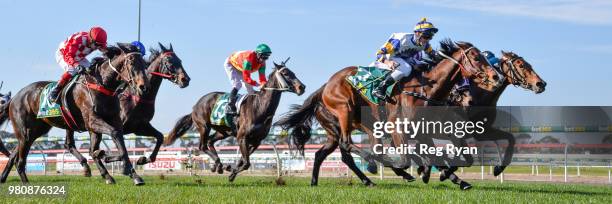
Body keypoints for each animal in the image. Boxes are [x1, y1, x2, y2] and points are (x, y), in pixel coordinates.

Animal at [0, 43, 148, 185]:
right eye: (131, 62)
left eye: (144, 63)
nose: (143, 86)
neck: (101, 84)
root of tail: (15, 97)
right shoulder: (92, 121)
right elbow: (113, 136)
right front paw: (120, 167)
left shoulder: (110, 121)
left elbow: (117, 144)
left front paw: (133, 175)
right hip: (25, 131)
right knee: (20, 161)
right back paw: (26, 184)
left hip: (36, 131)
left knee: (16, 154)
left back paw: (4, 178)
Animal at [61, 42, 191, 176]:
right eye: (169, 61)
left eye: (180, 60)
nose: (185, 79)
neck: (138, 96)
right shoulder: (122, 126)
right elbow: (120, 147)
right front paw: (119, 163)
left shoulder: (140, 126)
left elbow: (159, 137)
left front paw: (143, 159)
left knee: (71, 144)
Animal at [164, 59, 304, 182]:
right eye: (285, 73)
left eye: (293, 72)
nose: (302, 87)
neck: (259, 107)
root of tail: (195, 105)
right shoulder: (242, 137)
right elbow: (246, 163)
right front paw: (231, 172)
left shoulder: (256, 141)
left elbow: (243, 160)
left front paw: (230, 170)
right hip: (204, 126)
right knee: (202, 145)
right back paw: (218, 164)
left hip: (224, 131)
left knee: (210, 141)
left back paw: (218, 165)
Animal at [274, 39, 500, 186]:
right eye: (476, 57)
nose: (495, 76)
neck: (425, 90)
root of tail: (325, 87)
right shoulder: (398, 129)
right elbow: (408, 156)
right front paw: (423, 171)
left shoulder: (425, 129)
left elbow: (438, 155)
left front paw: (446, 176)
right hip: (344, 110)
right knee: (348, 145)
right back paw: (374, 168)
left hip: (338, 131)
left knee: (326, 154)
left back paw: (318, 181)